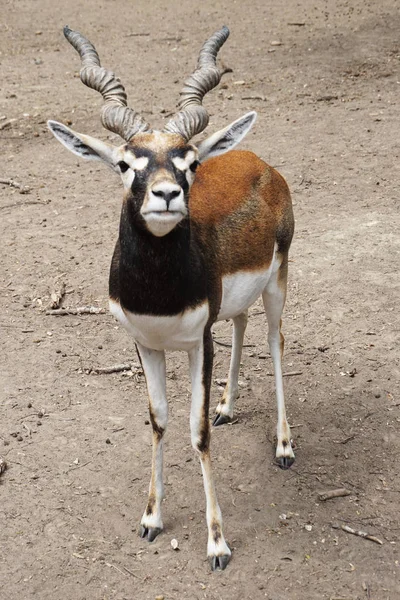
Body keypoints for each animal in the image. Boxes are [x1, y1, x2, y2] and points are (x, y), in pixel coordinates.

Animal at [48, 27, 296, 572]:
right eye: (125, 164)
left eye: (191, 162)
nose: (166, 194)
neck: (159, 294)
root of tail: (255, 161)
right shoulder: (146, 343)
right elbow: (159, 420)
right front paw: (151, 519)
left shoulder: (198, 341)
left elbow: (196, 431)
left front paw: (218, 543)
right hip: (234, 304)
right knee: (242, 324)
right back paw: (228, 405)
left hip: (278, 281)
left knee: (274, 341)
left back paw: (285, 445)